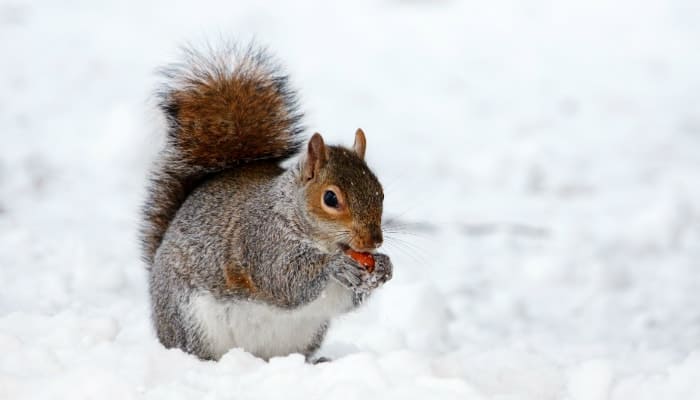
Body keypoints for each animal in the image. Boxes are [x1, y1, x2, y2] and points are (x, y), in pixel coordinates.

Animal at [141, 44, 394, 362]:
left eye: (381, 192)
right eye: (330, 198)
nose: (374, 241)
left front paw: (384, 266)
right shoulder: (261, 240)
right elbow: (284, 279)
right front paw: (335, 266)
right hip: (190, 320)